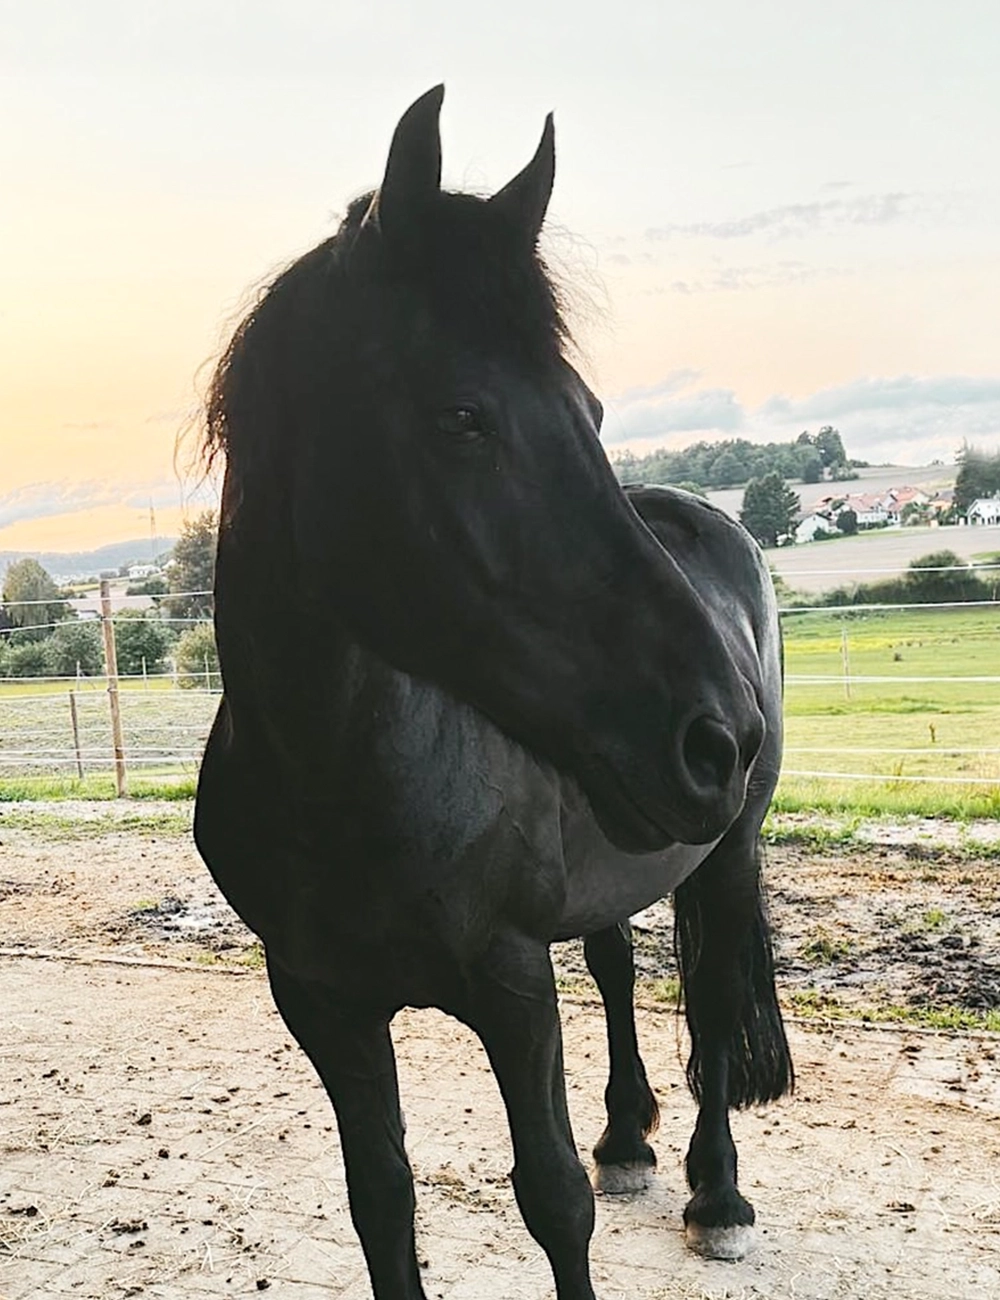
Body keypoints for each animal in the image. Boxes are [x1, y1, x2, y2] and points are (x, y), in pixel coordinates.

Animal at [194, 85, 792, 1300]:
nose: (719, 739)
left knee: (712, 1005)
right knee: (616, 962)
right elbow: (382, 1200)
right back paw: (629, 1135)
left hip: (727, 855)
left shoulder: (512, 990)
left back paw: (716, 1193)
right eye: (463, 417)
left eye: (592, 411)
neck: (338, 780)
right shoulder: (321, 1001)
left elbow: (552, 1200)